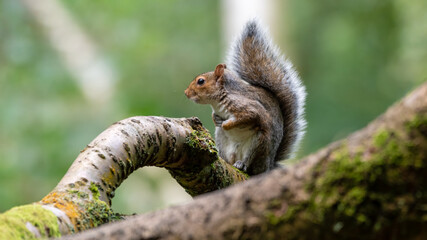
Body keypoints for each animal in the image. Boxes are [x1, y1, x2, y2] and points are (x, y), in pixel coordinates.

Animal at [186, 19, 306, 175]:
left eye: (201, 81)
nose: (186, 92)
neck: (217, 102)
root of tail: (268, 165)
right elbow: (215, 117)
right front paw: (216, 119)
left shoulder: (246, 106)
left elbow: (249, 116)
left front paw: (226, 123)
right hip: (222, 139)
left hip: (259, 143)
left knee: (249, 162)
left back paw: (241, 164)